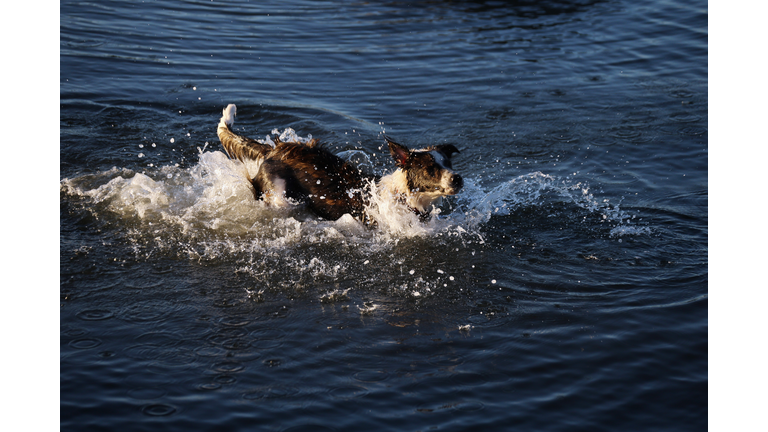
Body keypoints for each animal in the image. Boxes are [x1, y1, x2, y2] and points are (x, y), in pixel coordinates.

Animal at [214, 104, 462, 224]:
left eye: (448, 163)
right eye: (430, 169)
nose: (458, 178)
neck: (404, 196)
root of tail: (274, 149)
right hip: (278, 195)